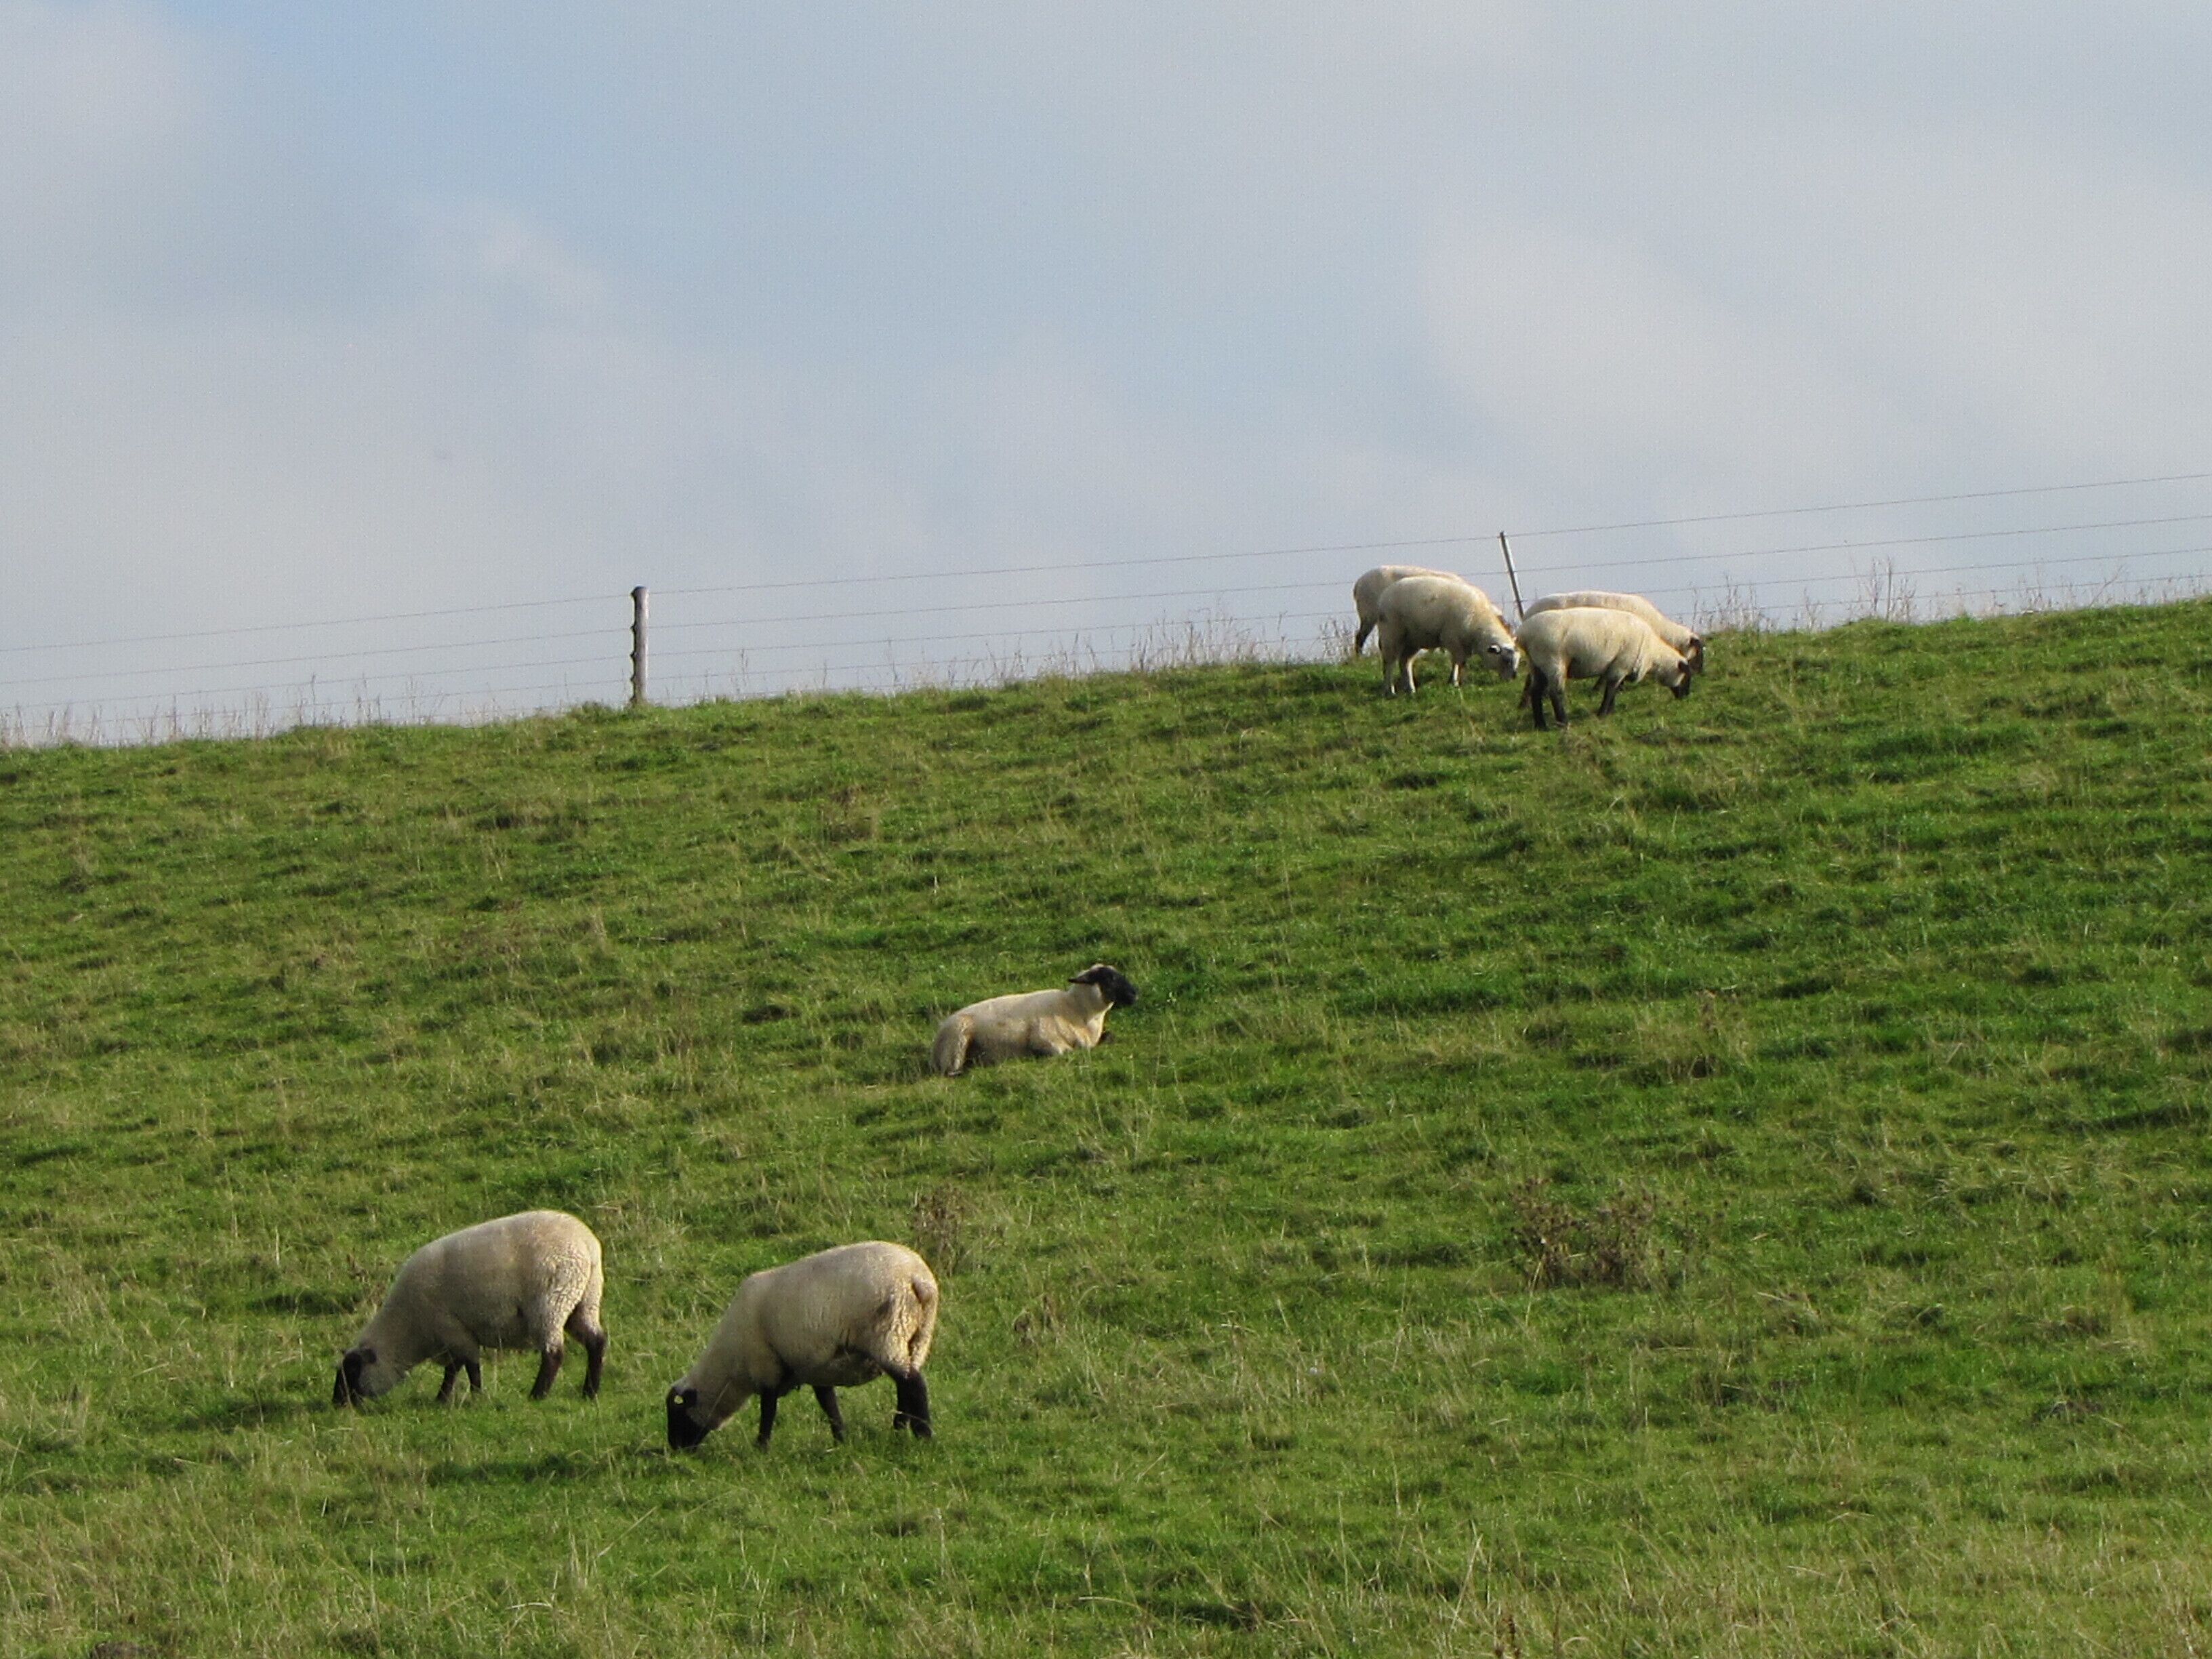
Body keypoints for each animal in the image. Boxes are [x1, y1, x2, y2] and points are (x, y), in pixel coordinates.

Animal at [332, 1210, 606, 1406]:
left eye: (352, 1370)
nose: (337, 1403)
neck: (409, 1331)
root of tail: (587, 1244)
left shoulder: (453, 1330)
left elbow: (469, 1367)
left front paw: (473, 1397)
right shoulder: (451, 1337)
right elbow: (456, 1368)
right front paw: (443, 1399)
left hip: (551, 1302)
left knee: (554, 1352)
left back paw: (538, 1395)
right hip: (584, 1299)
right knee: (597, 1341)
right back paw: (590, 1391)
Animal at [666, 1241, 939, 1451]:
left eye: (676, 1415)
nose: (676, 1450)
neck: (731, 1367)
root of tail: (918, 1279)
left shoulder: (766, 1364)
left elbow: (768, 1409)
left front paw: (761, 1447)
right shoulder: (817, 1366)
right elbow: (828, 1404)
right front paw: (840, 1439)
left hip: (889, 1331)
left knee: (913, 1384)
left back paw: (923, 1434)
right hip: (918, 1336)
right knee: (906, 1384)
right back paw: (900, 1429)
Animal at [929, 963, 1138, 1077]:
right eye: (1110, 978)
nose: (1135, 994)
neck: (1076, 1009)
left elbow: (1110, 1037)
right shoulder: (1045, 1040)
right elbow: (1064, 1051)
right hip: (956, 1043)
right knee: (950, 1071)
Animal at [1373, 574, 1520, 696]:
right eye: (1506, 660)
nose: (1513, 678)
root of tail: (1383, 597)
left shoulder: (1463, 645)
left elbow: (1461, 662)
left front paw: (1457, 681)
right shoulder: (1452, 639)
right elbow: (1458, 661)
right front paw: (1454, 682)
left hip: (1413, 640)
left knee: (1405, 662)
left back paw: (1410, 690)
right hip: (1392, 634)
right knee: (1389, 663)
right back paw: (1389, 691)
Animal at [1514, 606, 1692, 731]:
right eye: (1686, 677)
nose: (1685, 697)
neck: (1652, 654)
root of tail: (1523, 634)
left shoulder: (1615, 665)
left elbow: (1614, 688)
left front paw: (1610, 711)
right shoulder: (1621, 664)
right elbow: (1611, 688)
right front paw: (1603, 713)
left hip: (1536, 664)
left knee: (1535, 691)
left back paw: (1541, 725)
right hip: (1553, 660)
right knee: (1555, 692)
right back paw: (1563, 722)